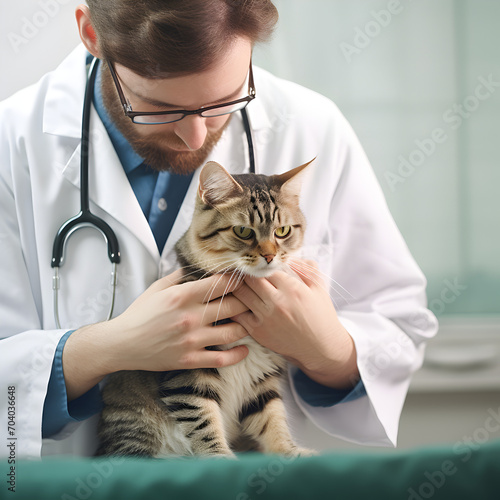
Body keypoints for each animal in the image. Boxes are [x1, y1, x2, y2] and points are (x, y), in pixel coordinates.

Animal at [96, 160, 314, 458]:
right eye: (243, 231)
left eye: (282, 232)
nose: (270, 256)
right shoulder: (188, 374)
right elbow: (203, 423)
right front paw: (220, 459)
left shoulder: (263, 378)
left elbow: (272, 420)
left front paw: (290, 452)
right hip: (136, 429)